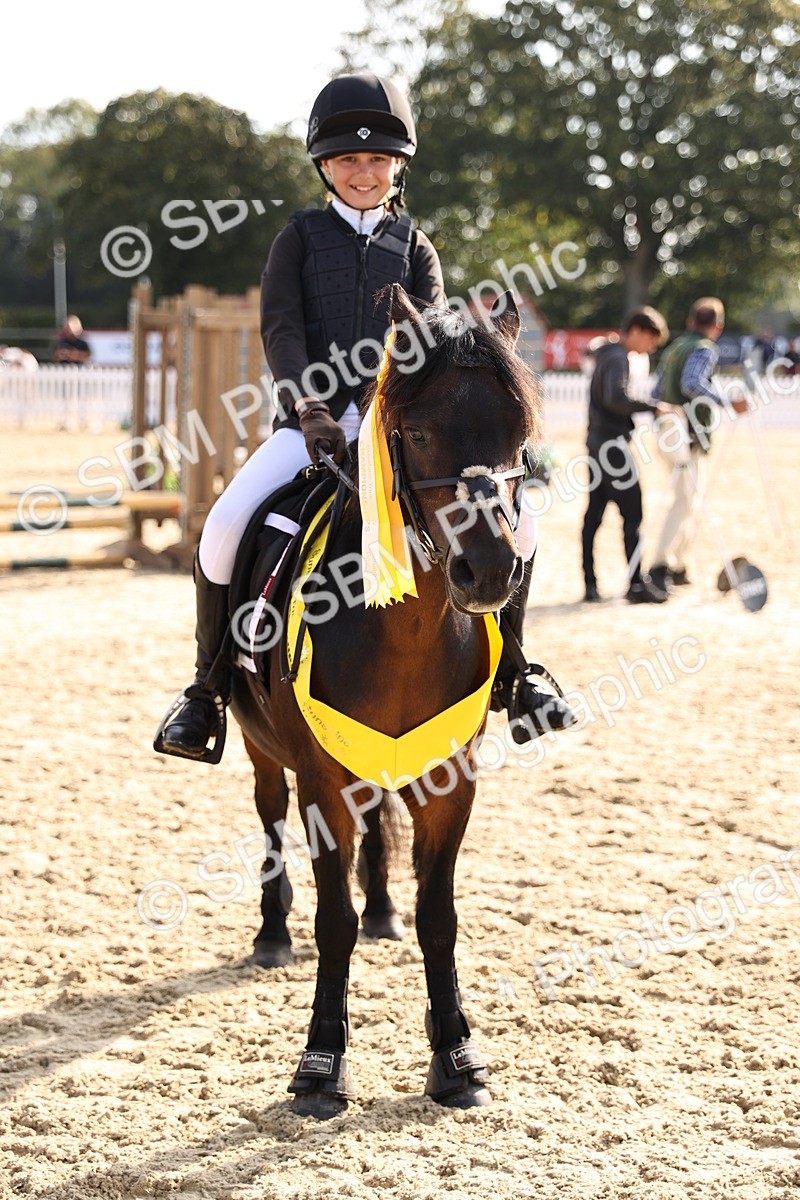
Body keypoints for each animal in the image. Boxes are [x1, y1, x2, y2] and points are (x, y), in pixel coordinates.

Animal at [228, 284, 542, 1116]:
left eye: (518, 434)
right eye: (420, 431)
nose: (488, 571)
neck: (402, 631)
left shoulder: (451, 780)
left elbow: (440, 915)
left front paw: (456, 1055)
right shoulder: (321, 781)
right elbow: (331, 921)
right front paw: (320, 1063)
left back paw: (383, 914)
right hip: (262, 750)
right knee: (268, 816)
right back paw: (272, 934)